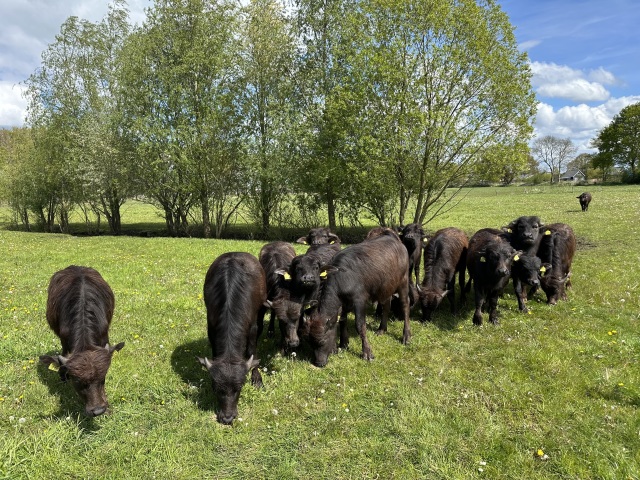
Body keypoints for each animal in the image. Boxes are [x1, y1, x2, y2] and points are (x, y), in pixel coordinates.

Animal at [195, 251, 264, 424]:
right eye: (216, 388)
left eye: (239, 388)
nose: (227, 418)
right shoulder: (211, 326)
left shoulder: (253, 327)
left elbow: (253, 350)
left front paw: (257, 379)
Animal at [304, 231, 410, 366]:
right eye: (309, 343)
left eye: (321, 341)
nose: (319, 363)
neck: (343, 278)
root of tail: (394, 239)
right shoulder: (343, 304)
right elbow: (342, 321)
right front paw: (343, 343)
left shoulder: (360, 301)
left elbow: (360, 325)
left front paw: (367, 353)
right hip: (385, 287)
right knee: (386, 305)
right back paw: (381, 329)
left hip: (403, 281)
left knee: (405, 305)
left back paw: (406, 336)